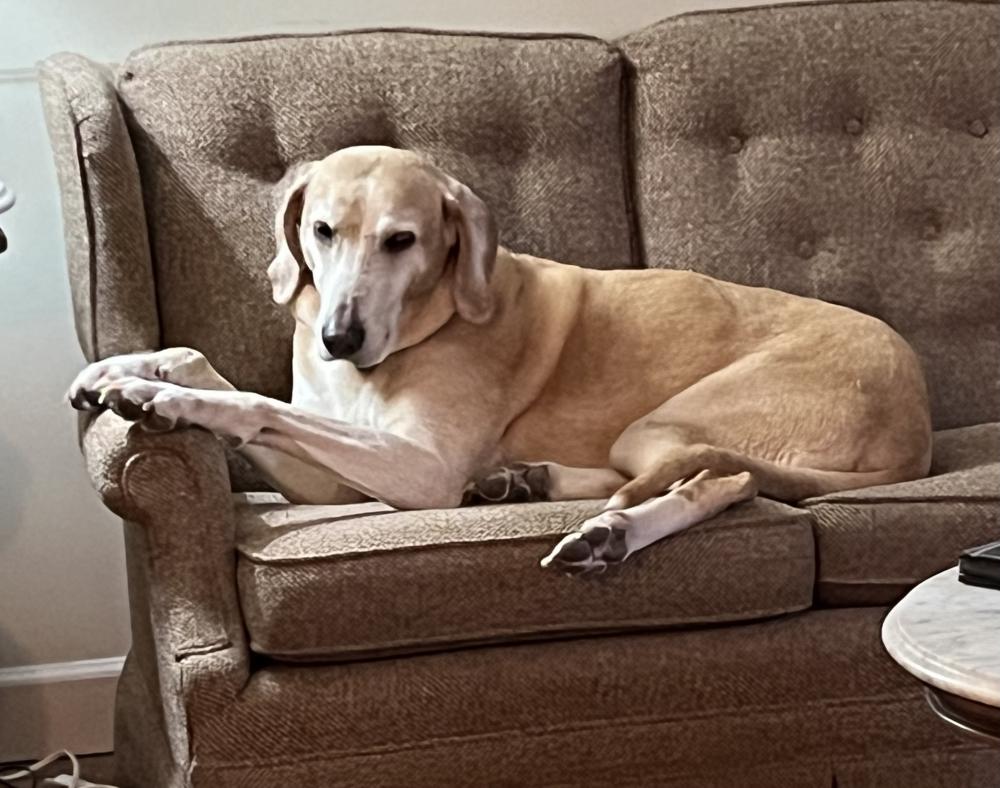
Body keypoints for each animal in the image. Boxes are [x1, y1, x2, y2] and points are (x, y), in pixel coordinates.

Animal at [67, 146, 932, 574]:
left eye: (402, 240)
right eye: (320, 230)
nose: (339, 340)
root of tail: (917, 423)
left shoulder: (419, 471)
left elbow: (254, 403)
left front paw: (170, 402)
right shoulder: (323, 474)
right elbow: (224, 373)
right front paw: (123, 371)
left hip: (672, 420)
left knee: (723, 478)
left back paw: (608, 533)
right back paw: (525, 481)